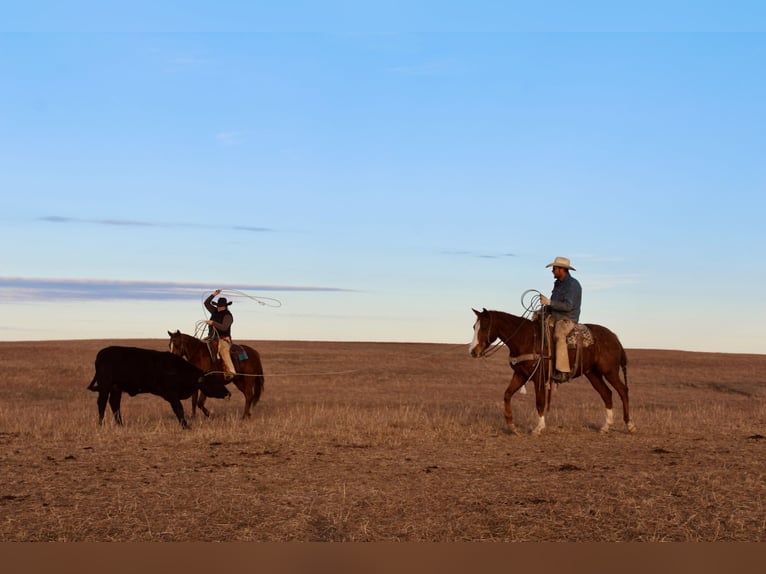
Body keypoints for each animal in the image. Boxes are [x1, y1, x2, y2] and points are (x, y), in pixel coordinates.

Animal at [88, 344, 231, 430]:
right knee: (102, 403)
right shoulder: (172, 394)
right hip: (105, 386)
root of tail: (101, 354)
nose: (228, 393)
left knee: (114, 404)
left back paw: (120, 424)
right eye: (214, 382)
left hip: (116, 388)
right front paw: (185, 426)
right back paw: (101, 424)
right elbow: (179, 409)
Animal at [468, 310, 636, 436]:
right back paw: (606, 426)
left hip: (610, 371)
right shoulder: (521, 375)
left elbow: (540, 401)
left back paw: (630, 425)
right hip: (593, 374)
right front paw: (512, 426)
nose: (473, 351)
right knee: (606, 393)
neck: (526, 338)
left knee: (623, 390)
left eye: (484, 327)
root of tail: (614, 337)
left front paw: (538, 428)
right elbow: (507, 394)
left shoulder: (539, 378)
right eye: (474, 327)